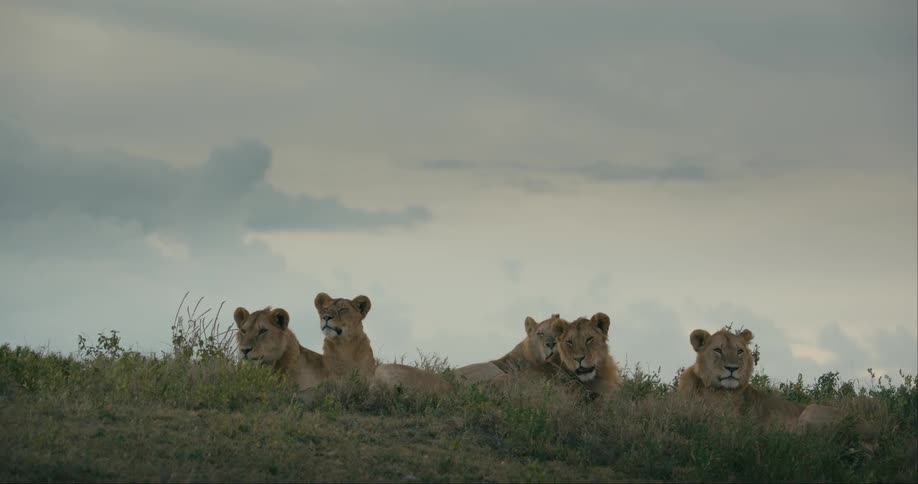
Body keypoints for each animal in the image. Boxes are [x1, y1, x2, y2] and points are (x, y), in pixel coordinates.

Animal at [314, 292, 450, 394]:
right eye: (325, 309)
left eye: (343, 309)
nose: (326, 317)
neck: (343, 345)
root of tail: (447, 386)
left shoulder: (366, 376)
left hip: (384, 368)